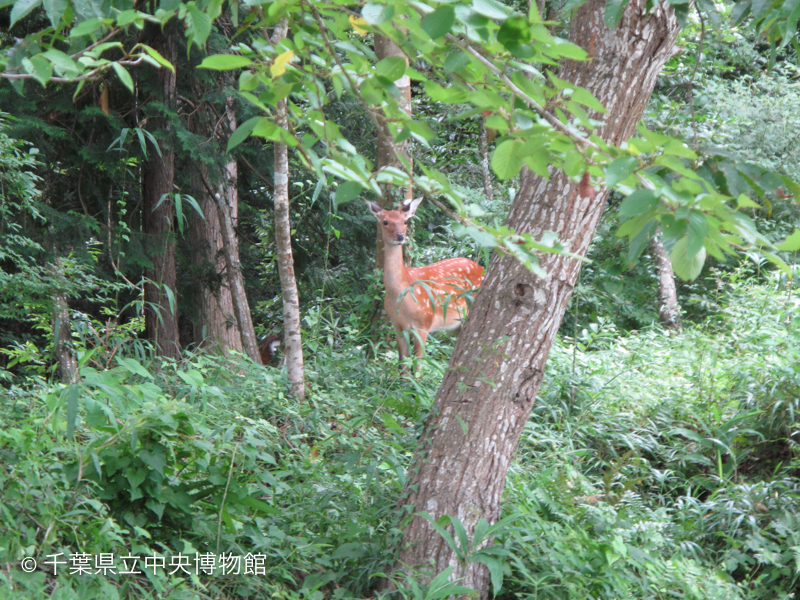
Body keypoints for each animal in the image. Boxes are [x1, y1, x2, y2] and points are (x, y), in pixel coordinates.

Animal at [366, 197, 484, 372]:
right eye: (385, 221)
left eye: (405, 221)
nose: (400, 236)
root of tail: (483, 268)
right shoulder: (397, 326)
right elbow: (403, 366)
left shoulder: (424, 323)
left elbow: (418, 367)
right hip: (456, 324)